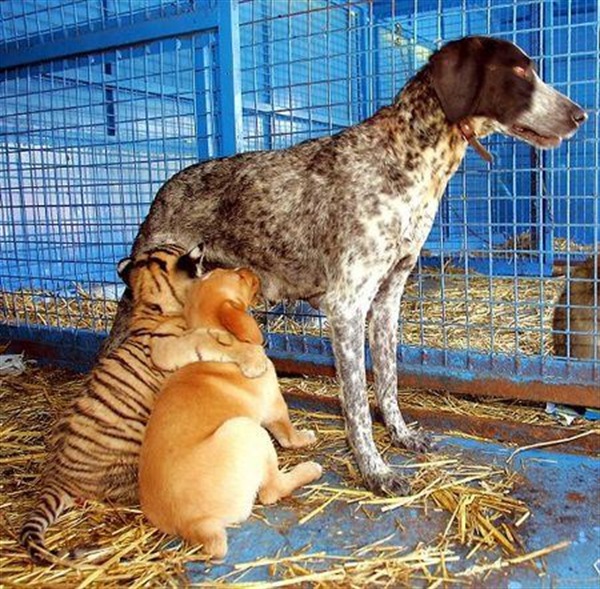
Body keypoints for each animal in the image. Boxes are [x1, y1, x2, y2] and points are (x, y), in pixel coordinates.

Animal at [104, 36, 584, 494]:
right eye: (518, 71)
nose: (580, 114)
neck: (405, 158)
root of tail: (165, 186)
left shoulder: (387, 302)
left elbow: (388, 382)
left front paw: (401, 435)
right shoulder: (347, 307)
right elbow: (355, 401)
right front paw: (374, 470)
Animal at [139, 268, 324, 560]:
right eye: (238, 277)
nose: (250, 270)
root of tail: (193, 524)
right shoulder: (275, 408)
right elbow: (288, 435)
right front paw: (303, 437)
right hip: (248, 431)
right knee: (271, 490)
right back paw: (308, 470)